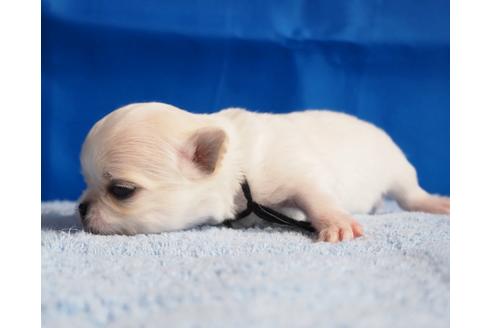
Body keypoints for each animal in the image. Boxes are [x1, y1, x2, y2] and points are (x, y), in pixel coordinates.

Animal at [80, 101, 450, 242]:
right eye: (85, 183)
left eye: (122, 191)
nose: (81, 208)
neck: (238, 168)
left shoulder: (298, 171)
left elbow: (316, 196)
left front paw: (336, 222)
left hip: (397, 168)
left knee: (411, 194)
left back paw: (433, 203)